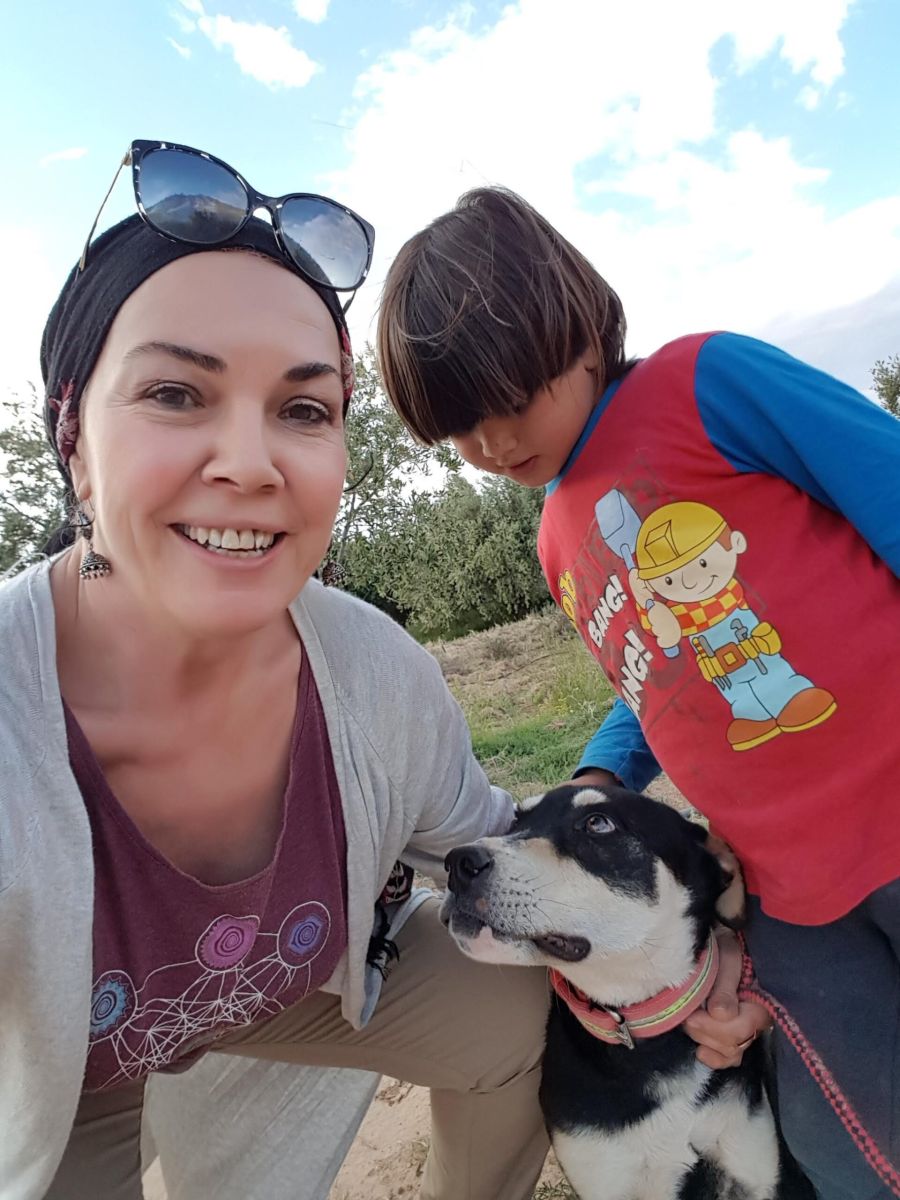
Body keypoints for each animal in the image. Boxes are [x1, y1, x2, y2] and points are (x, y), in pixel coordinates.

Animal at [442, 784, 813, 1200]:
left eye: (598, 823)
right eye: (516, 820)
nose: (457, 863)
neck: (641, 1029)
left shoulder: (753, 1167)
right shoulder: (605, 1177)